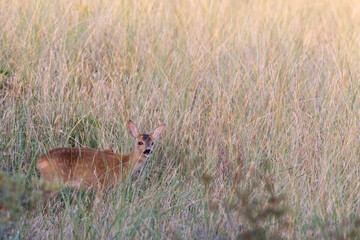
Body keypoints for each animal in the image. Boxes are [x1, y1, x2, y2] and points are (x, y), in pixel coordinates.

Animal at [36, 120, 166, 195]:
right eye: (140, 142)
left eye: (152, 143)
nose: (148, 150)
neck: (124, 163)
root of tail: (40, 161)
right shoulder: (103, 184)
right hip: (55, 180)